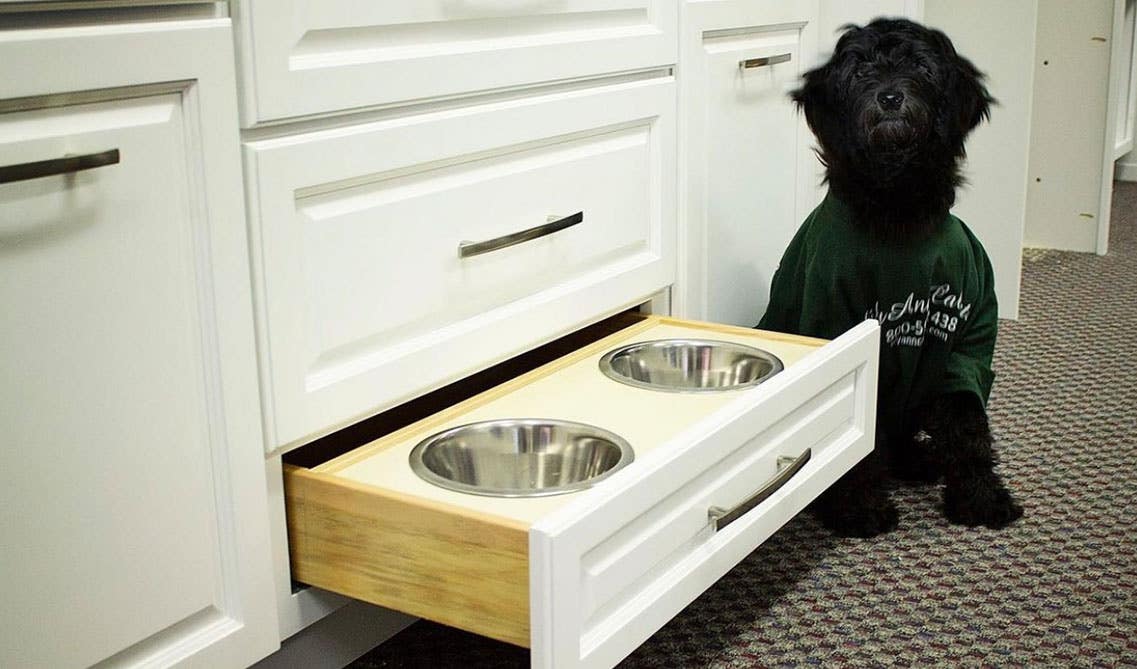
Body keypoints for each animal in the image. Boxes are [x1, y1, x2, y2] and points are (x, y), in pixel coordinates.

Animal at [759, 16, 1027, 539]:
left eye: (920, 67)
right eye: (861, 69)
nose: (889, 97)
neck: (897, 208)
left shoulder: (967, 342)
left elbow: (969, 427)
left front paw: (981, 499)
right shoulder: (840, 323)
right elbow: (860, 440)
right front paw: (859, 510)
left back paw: (921, 460)